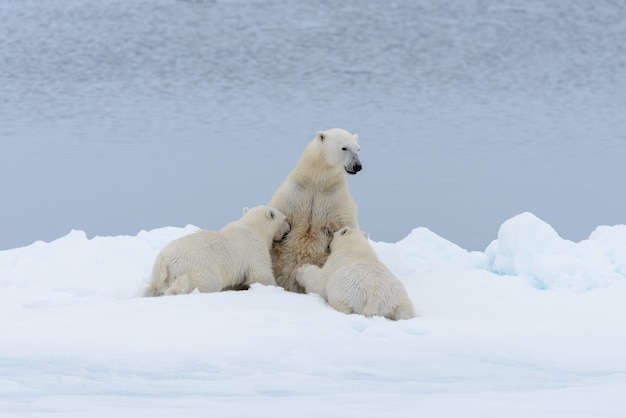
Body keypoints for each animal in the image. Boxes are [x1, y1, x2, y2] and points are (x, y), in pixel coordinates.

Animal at [146, 206, 290, 298]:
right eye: (285, 218)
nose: (289, 227)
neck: (255, 227)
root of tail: (164, 261)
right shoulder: (254, 248)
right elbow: (261, 274)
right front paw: (277, 288)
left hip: (159, 277)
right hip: (195, 268)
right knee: (207, 282)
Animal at [268, 127, 360, 290]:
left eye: (358, 149)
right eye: (344, 148)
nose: (357, 166)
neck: (317, 181)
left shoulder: (336, 198)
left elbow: (346, 223)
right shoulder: (295, 192)